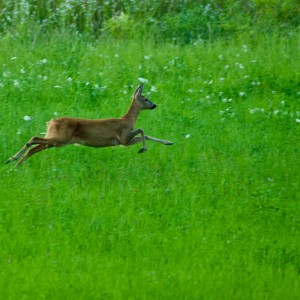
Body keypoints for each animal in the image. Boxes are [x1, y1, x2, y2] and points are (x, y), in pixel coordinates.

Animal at [5, 84, 173, 166]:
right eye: (146, 99)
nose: (154, 105)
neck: (128, 120)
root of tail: (51, 122)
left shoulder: (124, 141)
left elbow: (147, 134)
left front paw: (168, 142)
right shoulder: (124, 138)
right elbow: (142, 129)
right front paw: (143, 149)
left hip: (54, 140)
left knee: (33, 148)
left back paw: (14, 164)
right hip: (59, 138)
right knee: (33, 139)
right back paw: (12, 160)